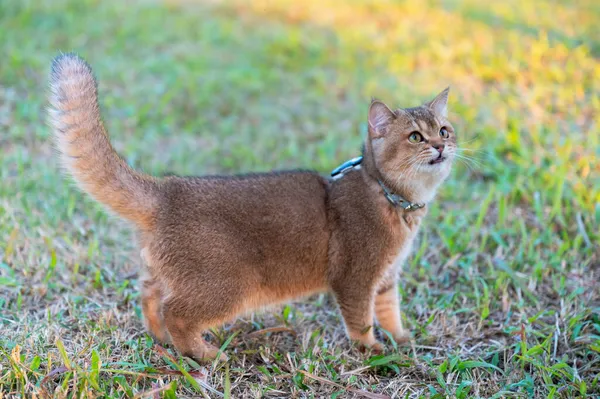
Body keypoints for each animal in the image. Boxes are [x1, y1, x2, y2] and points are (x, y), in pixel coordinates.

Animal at [48, 53, 454, 362]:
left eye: (444, 130)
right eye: (415, 137)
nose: (440, 146)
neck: (389, 197)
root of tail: (168, 189)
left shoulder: (386, 279)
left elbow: (389, 312)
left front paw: (403, 339)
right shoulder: (356, 278)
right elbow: (361, 320)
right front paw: (372, 349)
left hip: (165, 272)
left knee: (149, 295)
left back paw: (162, 339)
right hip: (229, 285)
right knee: (175, 312)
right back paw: (205, 354)